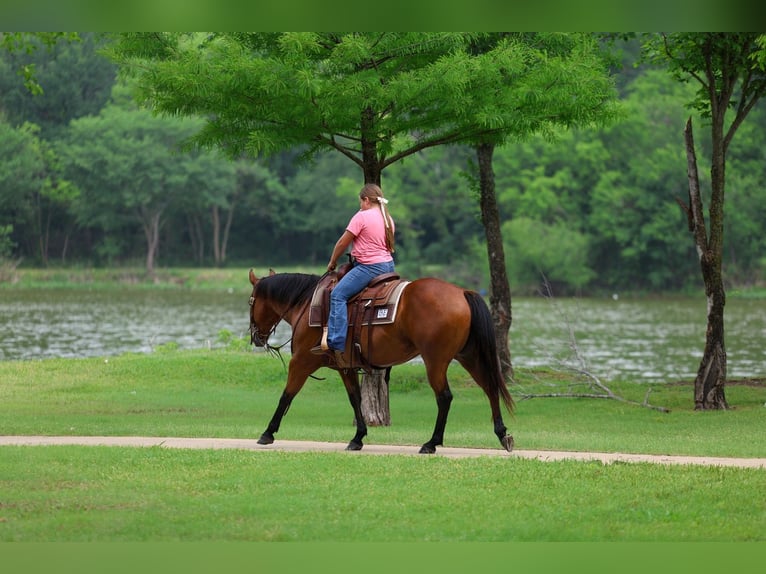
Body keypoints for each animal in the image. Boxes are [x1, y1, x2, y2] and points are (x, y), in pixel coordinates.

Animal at [248, 268, 514, 454]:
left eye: (251, 301)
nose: (256, 337)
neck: (306, 304)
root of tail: (461, 292)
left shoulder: (301, 361)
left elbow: (287, 395)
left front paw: (267, 432)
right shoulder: (345, 366)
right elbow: (355, 398)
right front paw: (358, 438)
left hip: (435, 360)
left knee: (444, 397)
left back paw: (431, 443)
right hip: (469, 355)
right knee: (490, 388)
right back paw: (502, 434)